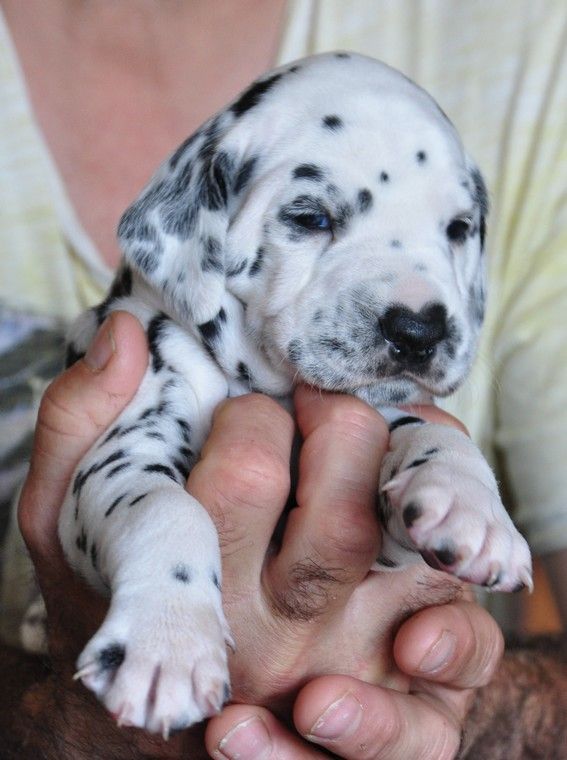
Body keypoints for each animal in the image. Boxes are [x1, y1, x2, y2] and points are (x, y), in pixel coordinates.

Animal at [58, 52, 532, 735]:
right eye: (310, 218)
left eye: (459, 228)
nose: (419, 330)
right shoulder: (119, 453)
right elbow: (166, 509)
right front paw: (166, 643)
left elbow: (430, 432)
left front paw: (471, 505)